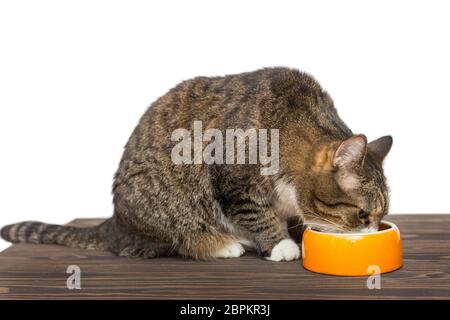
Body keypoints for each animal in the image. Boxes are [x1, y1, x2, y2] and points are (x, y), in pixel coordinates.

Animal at [0, 67, 392, 260]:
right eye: (362, 215)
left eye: (380, 216)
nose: (373, 231)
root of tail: (115, 223)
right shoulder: (233, 177)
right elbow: (257, 213)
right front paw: (279, 244)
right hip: (165, 208)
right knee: (166, 243)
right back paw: (223, 244)